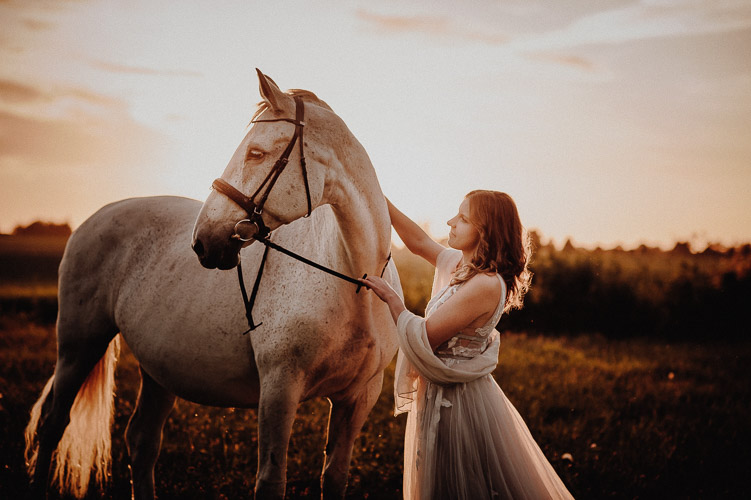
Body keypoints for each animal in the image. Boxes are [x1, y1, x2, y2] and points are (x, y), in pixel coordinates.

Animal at [25, 68, 400, 498]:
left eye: (256, 153)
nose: (203, 242)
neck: (356, 282)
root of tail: (96, 217)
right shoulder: (279, 389)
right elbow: (271, 482)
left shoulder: (357, 398)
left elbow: (334, 477)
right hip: (79, 346)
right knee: (53, 426)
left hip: (158, 368)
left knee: (141, 440)